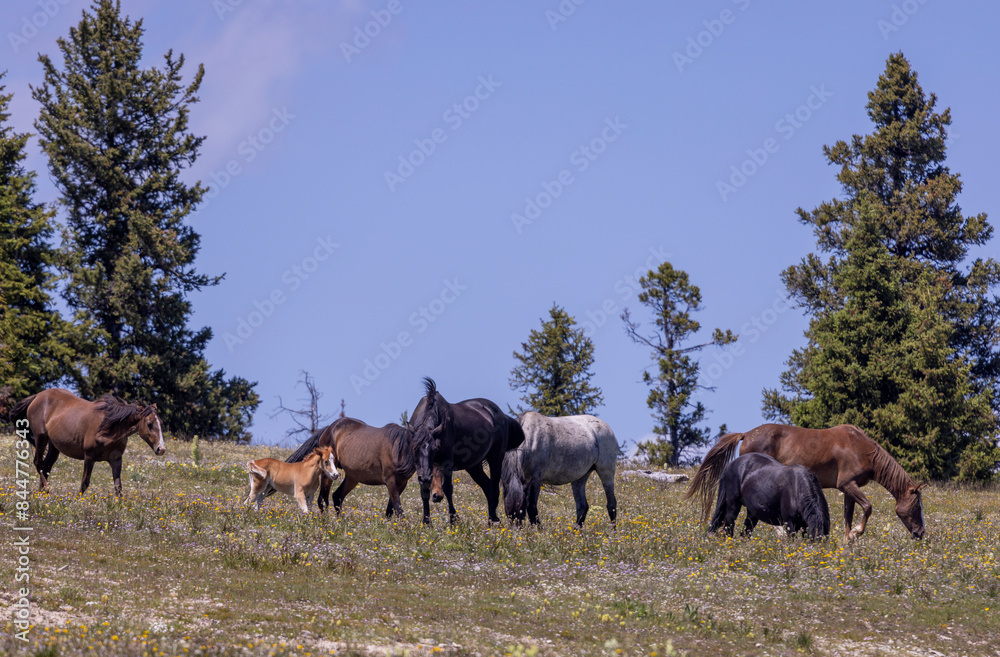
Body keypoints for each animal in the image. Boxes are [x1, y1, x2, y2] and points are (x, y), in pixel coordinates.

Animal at [9, 388, 166, 496]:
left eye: (161, 422)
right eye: (150, 424)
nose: (161, 449)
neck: (109, 426)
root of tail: (37, 396)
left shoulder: (116, 460)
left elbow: (118, 487)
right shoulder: (89, 457)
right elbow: (84, 483)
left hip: (54, 446)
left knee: (46, 466)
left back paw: (42, 495)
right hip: (41, 438)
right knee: (38, 463)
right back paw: (46, 489)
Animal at [283, 417, 416, 517]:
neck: (399, 447)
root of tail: (329, 428)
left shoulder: (401, 483)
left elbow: (391, 507)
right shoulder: (390, 479)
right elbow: (397, 506)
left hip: (352, 477)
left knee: (337, 496)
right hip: (329, 474)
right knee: (323, 498)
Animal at [408, 377, 525, 524]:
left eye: (435, 449)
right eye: (414, 449)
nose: (425, 477)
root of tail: (501, 415)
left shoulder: (447, 462)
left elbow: (448, 488)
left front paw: (453, 519)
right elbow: (424, 491)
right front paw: (426, 522)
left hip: (496, 459)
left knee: (494, 487)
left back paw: (493, 520)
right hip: (474, 466)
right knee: (487, 486)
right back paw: (492, 519)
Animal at [687, 423, 926, 541]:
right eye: (916, 507)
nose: (920, 534)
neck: (862, 448)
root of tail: (746, 434)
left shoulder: (848, 488)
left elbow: (848, 516)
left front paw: (848, 541)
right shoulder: (848, 485)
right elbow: (867, 507)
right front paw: (857, 533)